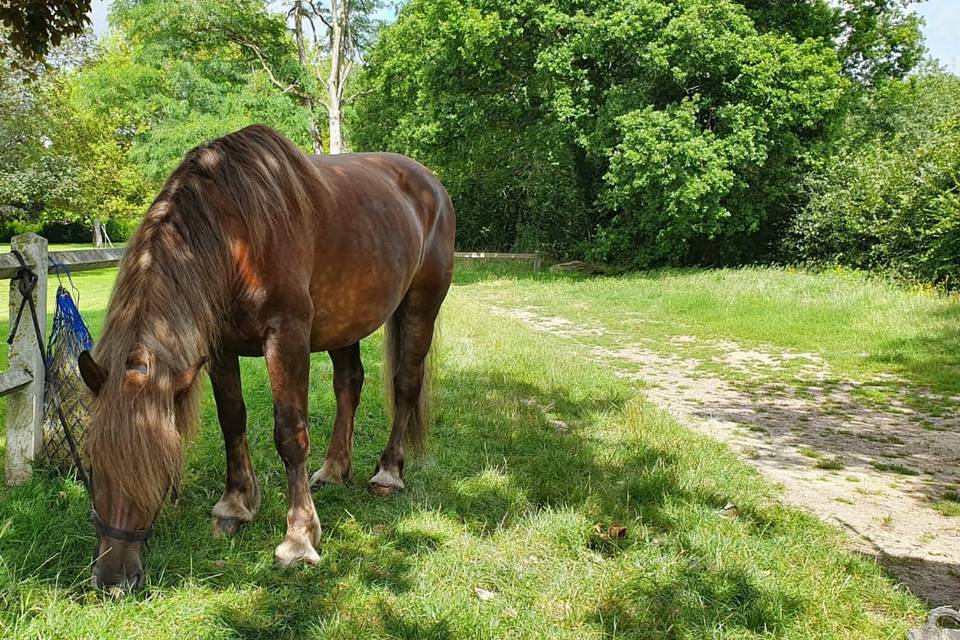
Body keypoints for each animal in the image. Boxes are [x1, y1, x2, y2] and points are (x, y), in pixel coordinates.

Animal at [76, 124, 458, 592]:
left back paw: (388, 473)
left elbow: (290, 434)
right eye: (92, 462)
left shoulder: (286, 337)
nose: (112, 578)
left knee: (405, 384)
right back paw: (333, 470)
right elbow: (232, 420)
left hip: (421, 305)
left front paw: (298, 538)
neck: (237, 234)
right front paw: (235, 505)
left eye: (162, 467)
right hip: (346, 319)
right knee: (349, 384)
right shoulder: (219, 348)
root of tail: (430, 183)